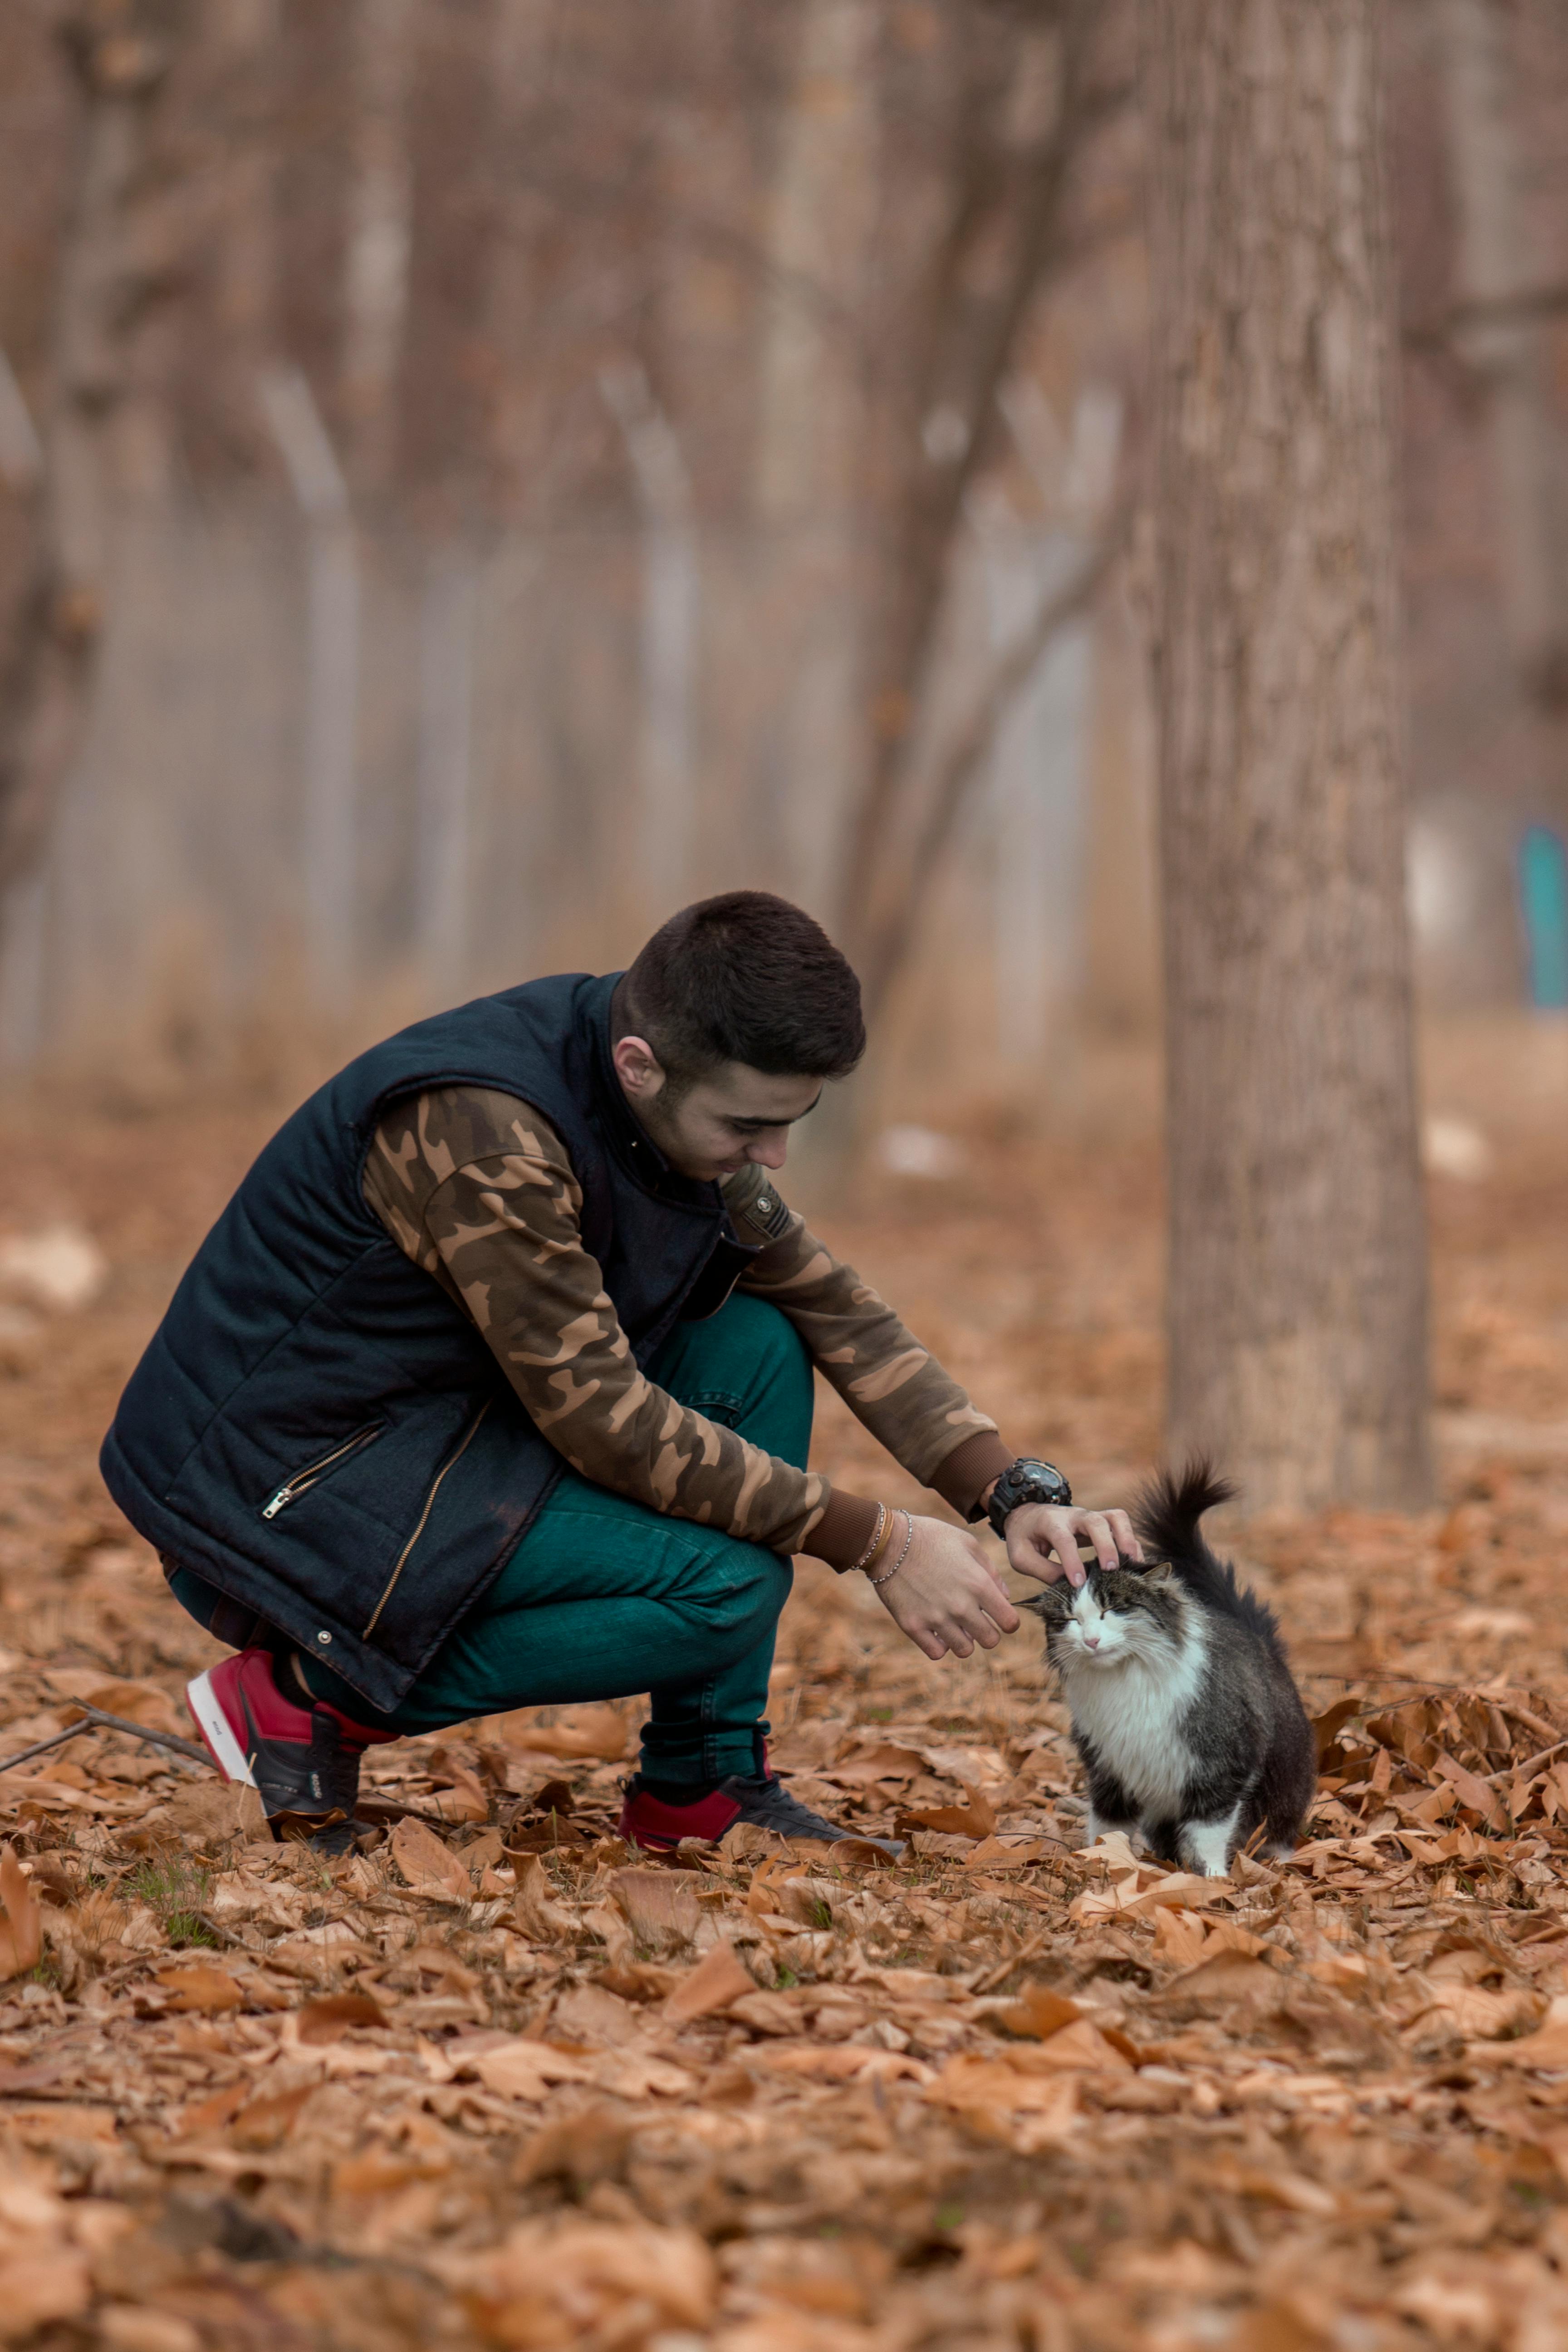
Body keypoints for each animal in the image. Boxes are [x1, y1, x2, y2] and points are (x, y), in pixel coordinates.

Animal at [1025, 1458, 1316, 1882]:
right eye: (1070, 1621)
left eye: (1112, 1610)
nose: (1091, 1641)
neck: (1126, 1684)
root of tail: (1254, 1634)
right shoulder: (1109, 1768)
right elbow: (1108, 1825)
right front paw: (1099, 1861)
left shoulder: (1220, 1766)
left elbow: (1208, 1832)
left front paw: (1214, 1880)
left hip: (1282, 1783)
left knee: (1277, 1828)